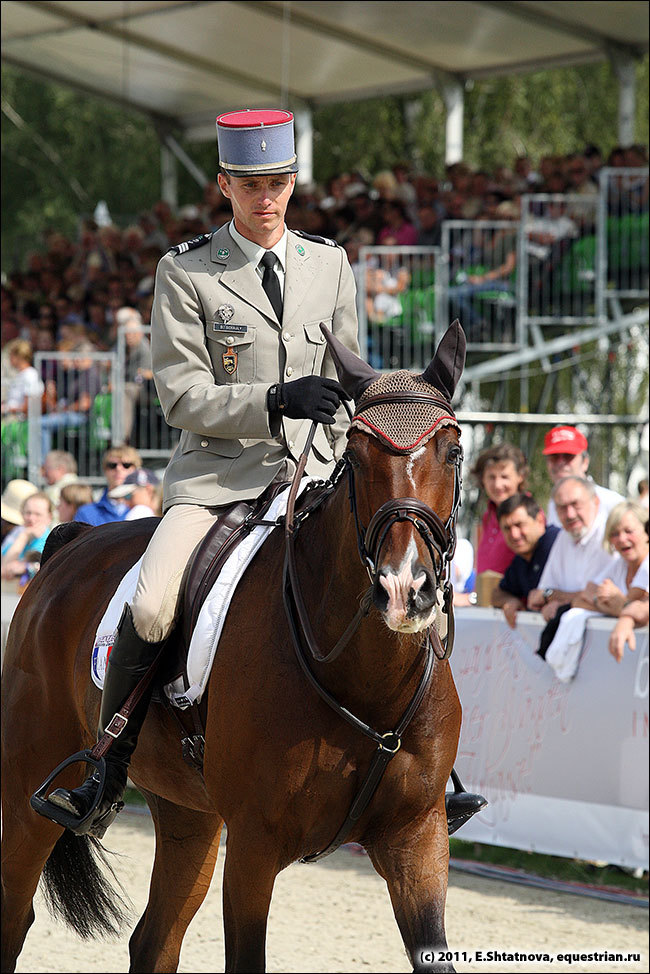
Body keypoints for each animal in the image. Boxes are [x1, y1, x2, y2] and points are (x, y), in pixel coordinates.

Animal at [3, 324, 470, 972]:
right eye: (355, 457)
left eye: (453, 453)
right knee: (13, 916)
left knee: (154, 939)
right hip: (29, 784)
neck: (363, 680)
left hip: (189, 814)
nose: (405, 588)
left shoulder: (417, 841)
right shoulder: (254, 845)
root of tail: (69, 543)